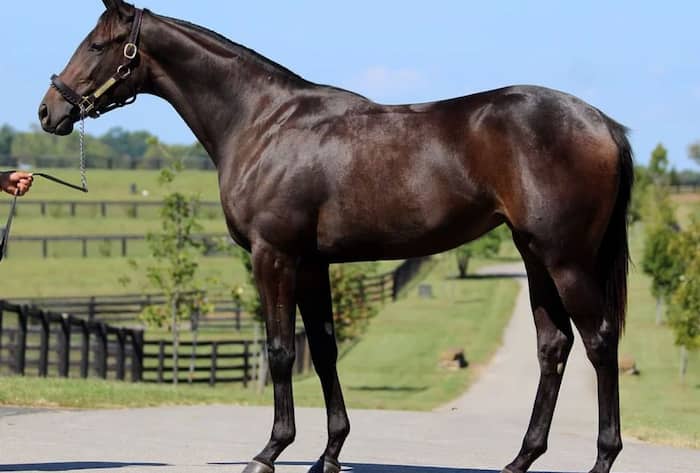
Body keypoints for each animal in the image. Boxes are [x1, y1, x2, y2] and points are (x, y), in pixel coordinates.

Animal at [38, 2, 633, 473]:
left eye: (96, 45)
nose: (49, 110)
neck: (264, 123)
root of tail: (603, 123)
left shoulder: (274, 256)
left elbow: (281, 350)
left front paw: (269, 452)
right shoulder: (311, 263)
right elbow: (323, 349)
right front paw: (328, 455)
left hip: (566, 259)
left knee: (600, 342)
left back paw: (602, 459)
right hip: (533, 255)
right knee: (553, 345)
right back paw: (519, 459)